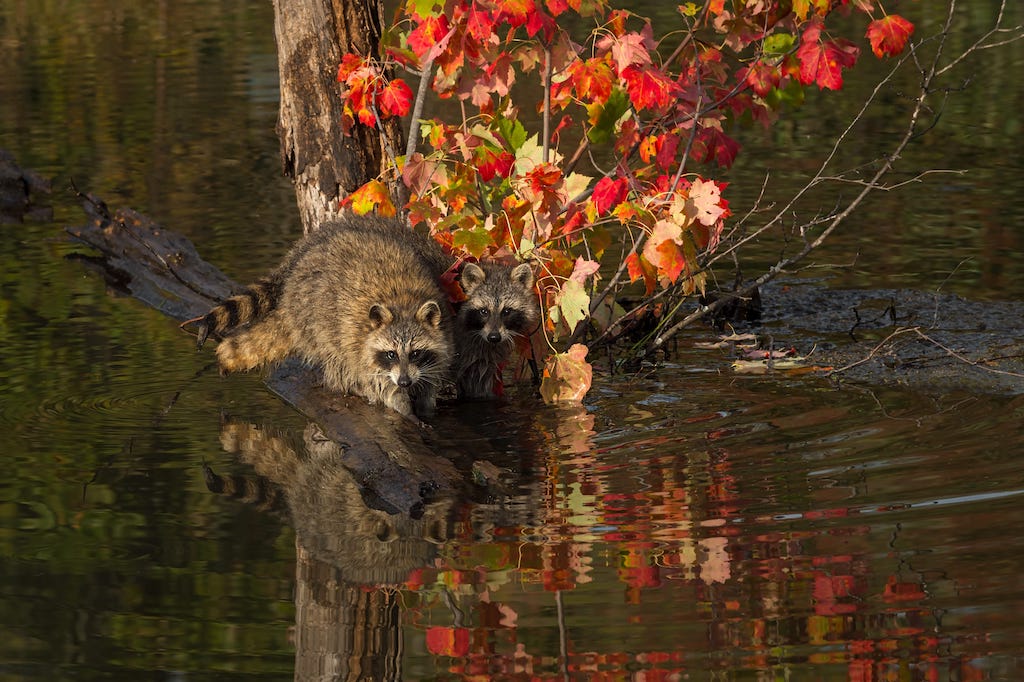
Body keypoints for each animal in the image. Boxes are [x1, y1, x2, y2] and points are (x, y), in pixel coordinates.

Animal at [194, 215, 456, 417]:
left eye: (416, 353)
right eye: (390, 354)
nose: (404, 382)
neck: (403, 303)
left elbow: (432, 372)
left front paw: (425, 402)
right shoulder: (360, 342)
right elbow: (376, 380)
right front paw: (401, 404)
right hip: (315, 314)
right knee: (334, 355)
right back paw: (347, 384)